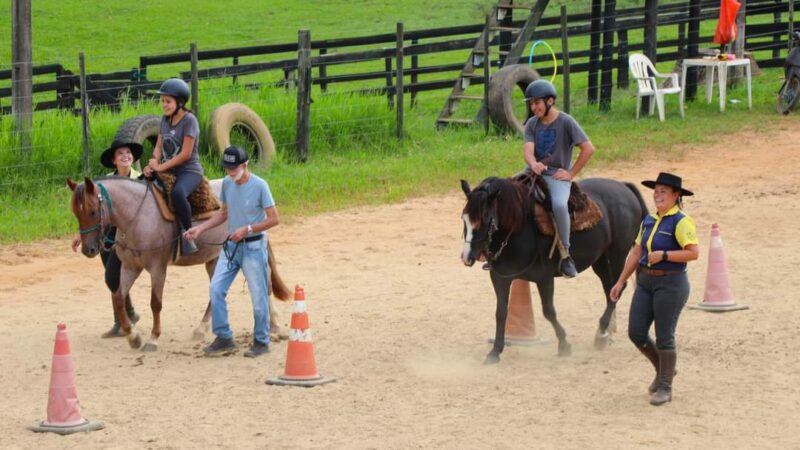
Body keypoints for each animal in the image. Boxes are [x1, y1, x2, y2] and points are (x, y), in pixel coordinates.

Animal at [67, 176, 290, 352]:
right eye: (76, 213)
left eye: (93, 211)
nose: (88, 250)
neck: (137, 216)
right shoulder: (130, 267)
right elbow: (118, 298)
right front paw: (133, 337)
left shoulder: (158, 268)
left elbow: (155, 303)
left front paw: (153, 339)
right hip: (214, 259)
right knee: (215, 290)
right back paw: (201, 328)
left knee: (265, 284)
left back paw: (274, 325)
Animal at [460, 178, 648, 364]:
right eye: (464, 218)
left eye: (486, 218)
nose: (467, 257)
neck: (519, 225)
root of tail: (624, 186)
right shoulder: (500, 278)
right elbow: (500, 313)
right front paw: (495, 351)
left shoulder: (544, 278)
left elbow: (549, 311)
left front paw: (564, 344)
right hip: (601, 259)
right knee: (610, 289)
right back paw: (606, 332)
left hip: (618, 254)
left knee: (617, 289)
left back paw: (601, 332)